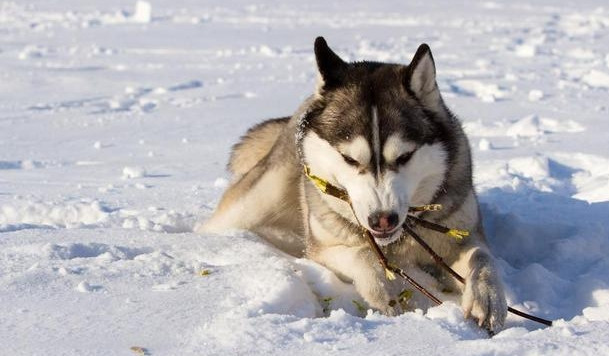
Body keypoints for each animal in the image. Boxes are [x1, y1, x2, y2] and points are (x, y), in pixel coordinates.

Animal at [197, 37, 506, 332]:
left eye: (404, 157)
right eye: (349, 159)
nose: (382, 219)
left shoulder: (462, 233)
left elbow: (482, 257)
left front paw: (487, 297)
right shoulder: (320, 250)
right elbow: (361, 254)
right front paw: (384, 292)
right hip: (259, 198)